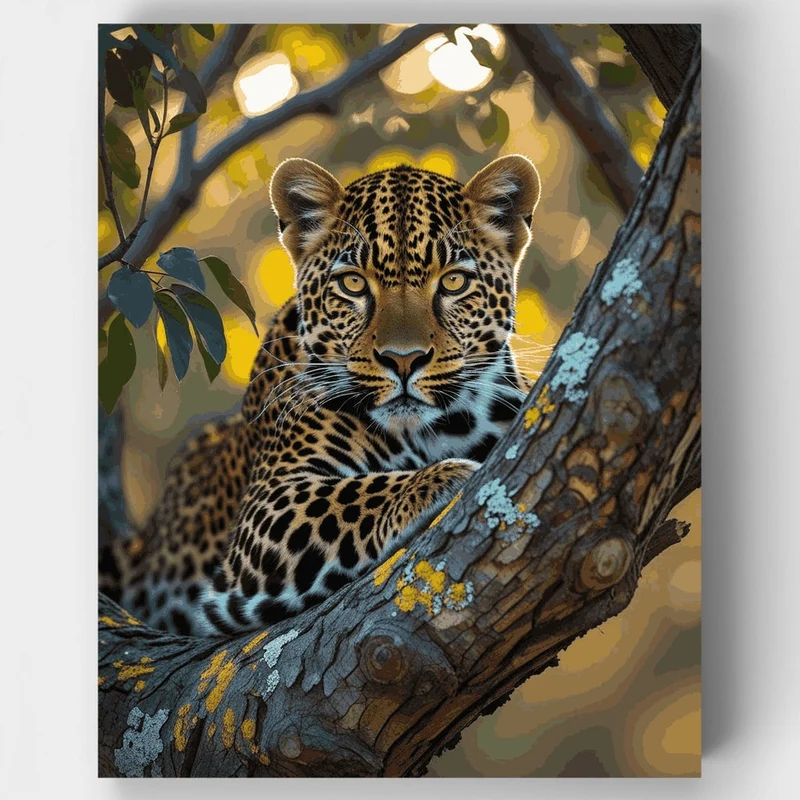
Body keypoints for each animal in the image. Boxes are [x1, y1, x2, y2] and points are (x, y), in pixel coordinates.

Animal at [109, 153, 542, 637]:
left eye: (452, 283)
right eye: (353, 284)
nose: (404, 360)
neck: (440, 430)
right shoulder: (269, 506)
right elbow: (360, 493)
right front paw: (446, 475)